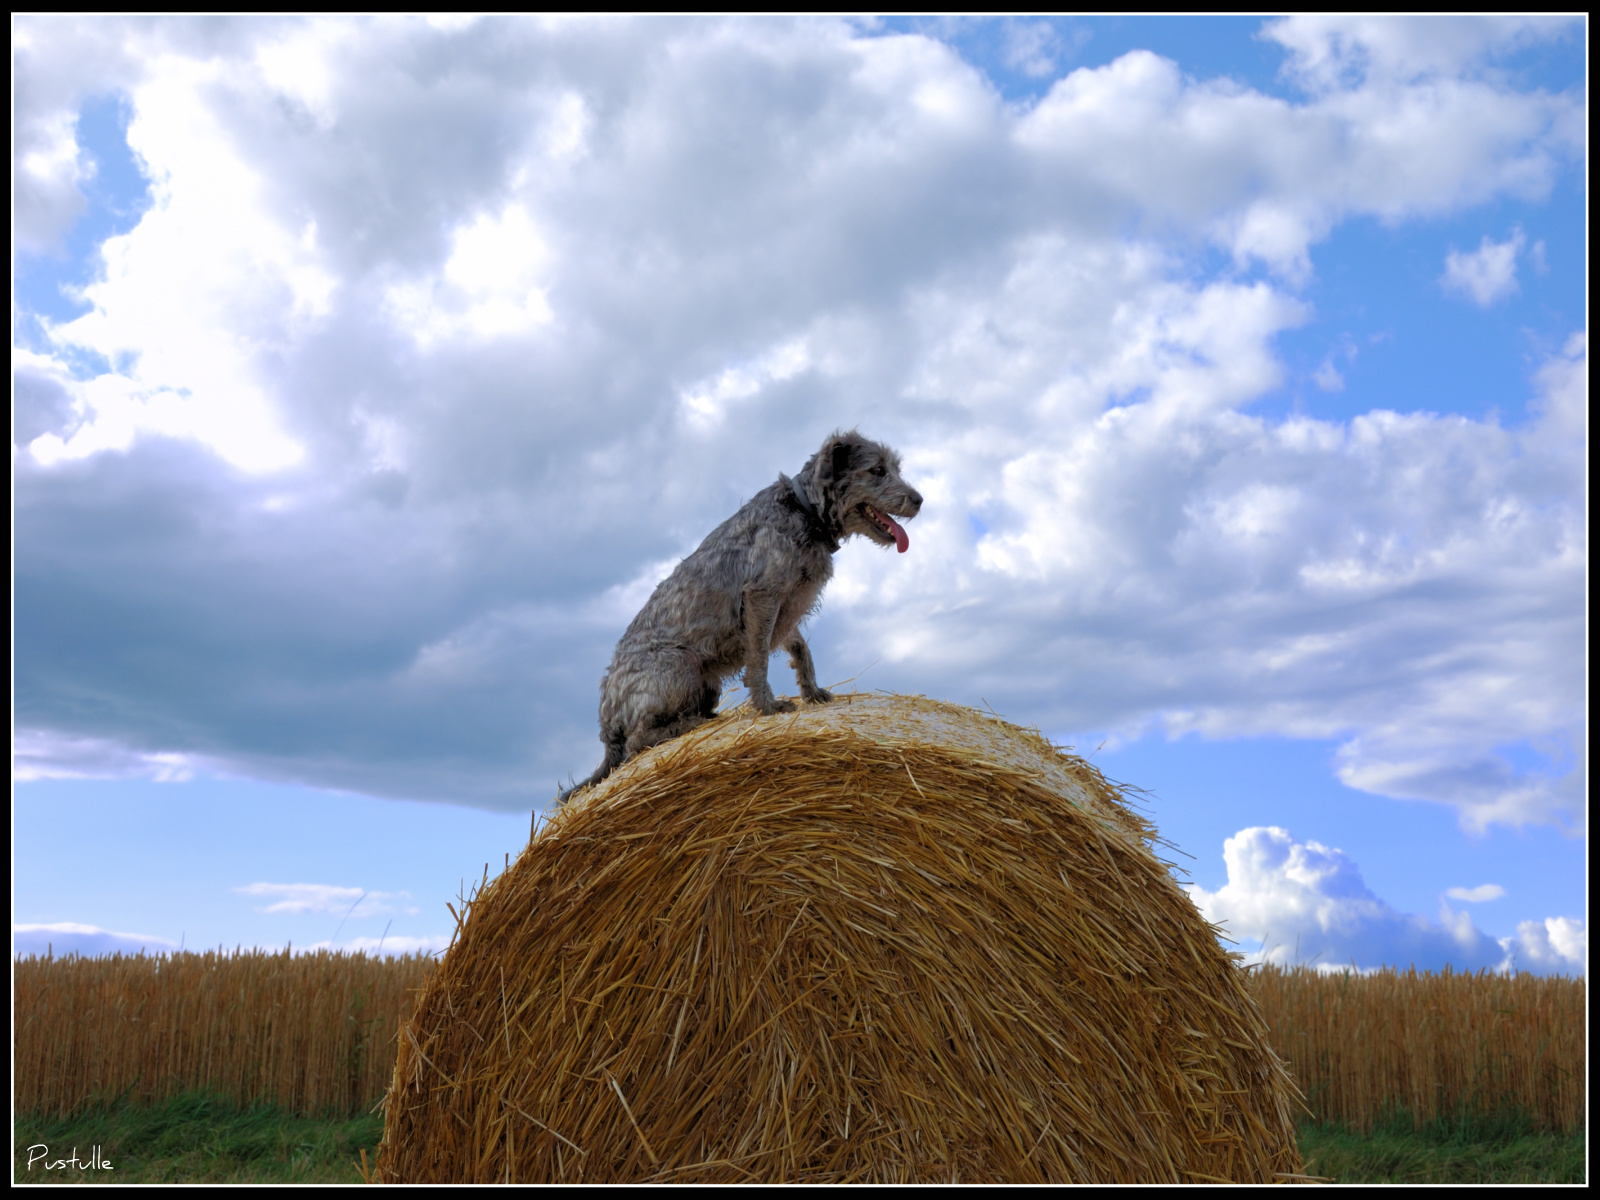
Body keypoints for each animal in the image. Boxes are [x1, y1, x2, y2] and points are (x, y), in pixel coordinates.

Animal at [560, 435, 928, 809]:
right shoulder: (762, 598)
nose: (919, 500)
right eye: (877, 470)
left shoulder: (786, 606)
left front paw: (812, 691)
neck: (803, 509)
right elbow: (759, 657)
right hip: (681, 664)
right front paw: (768, 706)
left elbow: (800, 648)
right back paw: (692, 724)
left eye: (895, 468)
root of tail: (607, 728)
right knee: (638, 742)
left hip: (706, 685)